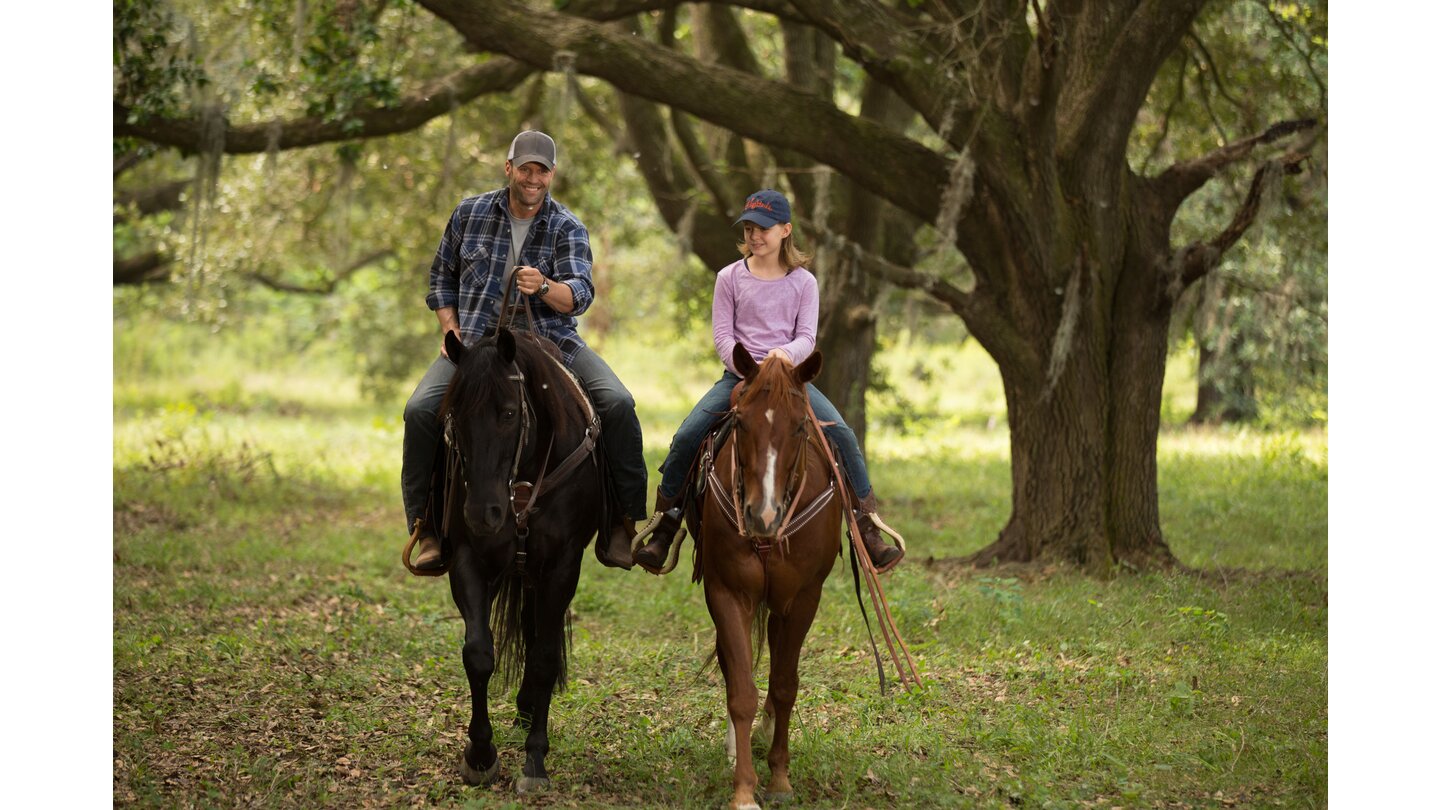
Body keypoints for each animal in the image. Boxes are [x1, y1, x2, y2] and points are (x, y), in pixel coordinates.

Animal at [432, 324, 601, 789]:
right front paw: (480, 755)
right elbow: (478, 653)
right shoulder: (469, 560)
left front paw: (535, 759)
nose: (482, 513)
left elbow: (544, 658)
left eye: (508, 413)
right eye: (453, 416)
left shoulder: (562, 566)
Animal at [696, 343, 840, 801]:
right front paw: (744, 789)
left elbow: (784, 685)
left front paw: (779, 779)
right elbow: (741, 688)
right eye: (741, 421)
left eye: (799, 427)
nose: (763, 514)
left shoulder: (804, 598)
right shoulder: (726, 592)